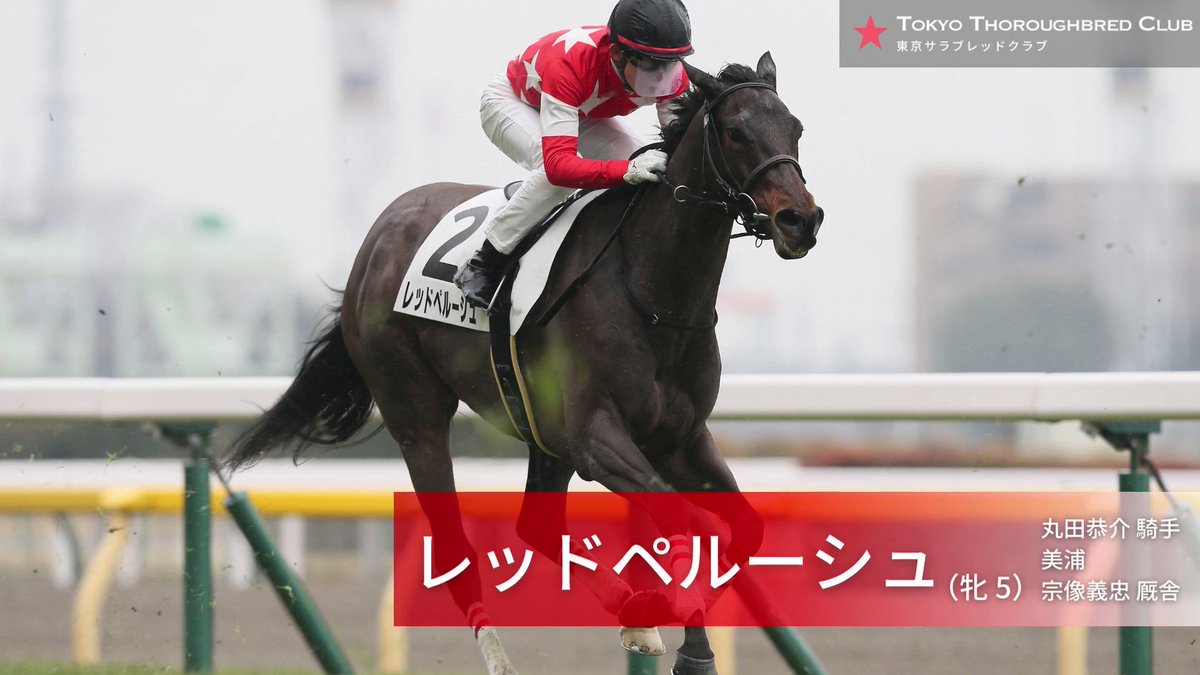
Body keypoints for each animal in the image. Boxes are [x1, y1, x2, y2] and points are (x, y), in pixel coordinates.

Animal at [223, 52, 822, 675]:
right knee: (454, 546)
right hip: (416, 412)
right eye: (734, 132)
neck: (654, 295)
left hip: (542, 431)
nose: (800, 220)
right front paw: (691, 643)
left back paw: (633, 614)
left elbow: (744, 529)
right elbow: (680, 517)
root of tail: (379, 234)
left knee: (536, 525)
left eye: (796, 129)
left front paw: (669, 616)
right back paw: (505, 658)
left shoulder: (680, 438)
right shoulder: (596, 437)